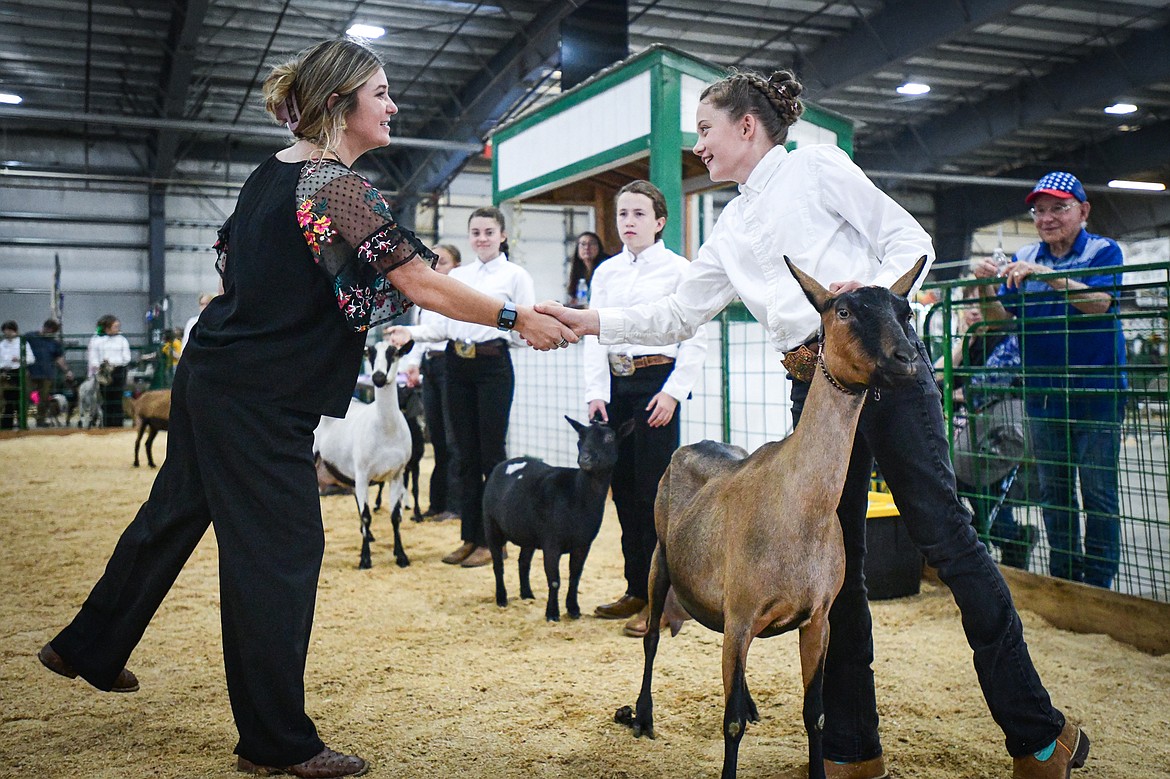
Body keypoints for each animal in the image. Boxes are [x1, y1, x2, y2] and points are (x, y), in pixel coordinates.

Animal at [315, 339, 416, 563]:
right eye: (369, 354)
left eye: (394, 353)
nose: (378, 377)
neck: (386, 429)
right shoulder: (362, 475)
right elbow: (366, 516)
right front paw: (365, 559)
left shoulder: (397, 474)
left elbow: (395, 517)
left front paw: (401, 555)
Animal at [482, 416, 636, 622]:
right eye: (580, 437)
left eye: (609, 437)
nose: (585, 458)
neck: (577, 494)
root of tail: (506, 463)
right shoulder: (551, 542)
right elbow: (554, 580)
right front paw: (552, 613)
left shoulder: (583, 543)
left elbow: (575, 576)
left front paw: (573, 610)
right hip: (491, 523)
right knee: (498, 564)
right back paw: (501, 598)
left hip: (528, 533)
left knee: (523, 562)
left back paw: (527, 594)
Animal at [617, 256, 926, 776]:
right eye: (843, 310)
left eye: (905, 312)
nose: (907, 361)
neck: (800, 508)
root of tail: (694, 442)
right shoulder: (742, 614)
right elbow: (730, 725)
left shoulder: (817, 618)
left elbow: (815, 714)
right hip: (661, 561)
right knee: (652, 640)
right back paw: (641, 715)